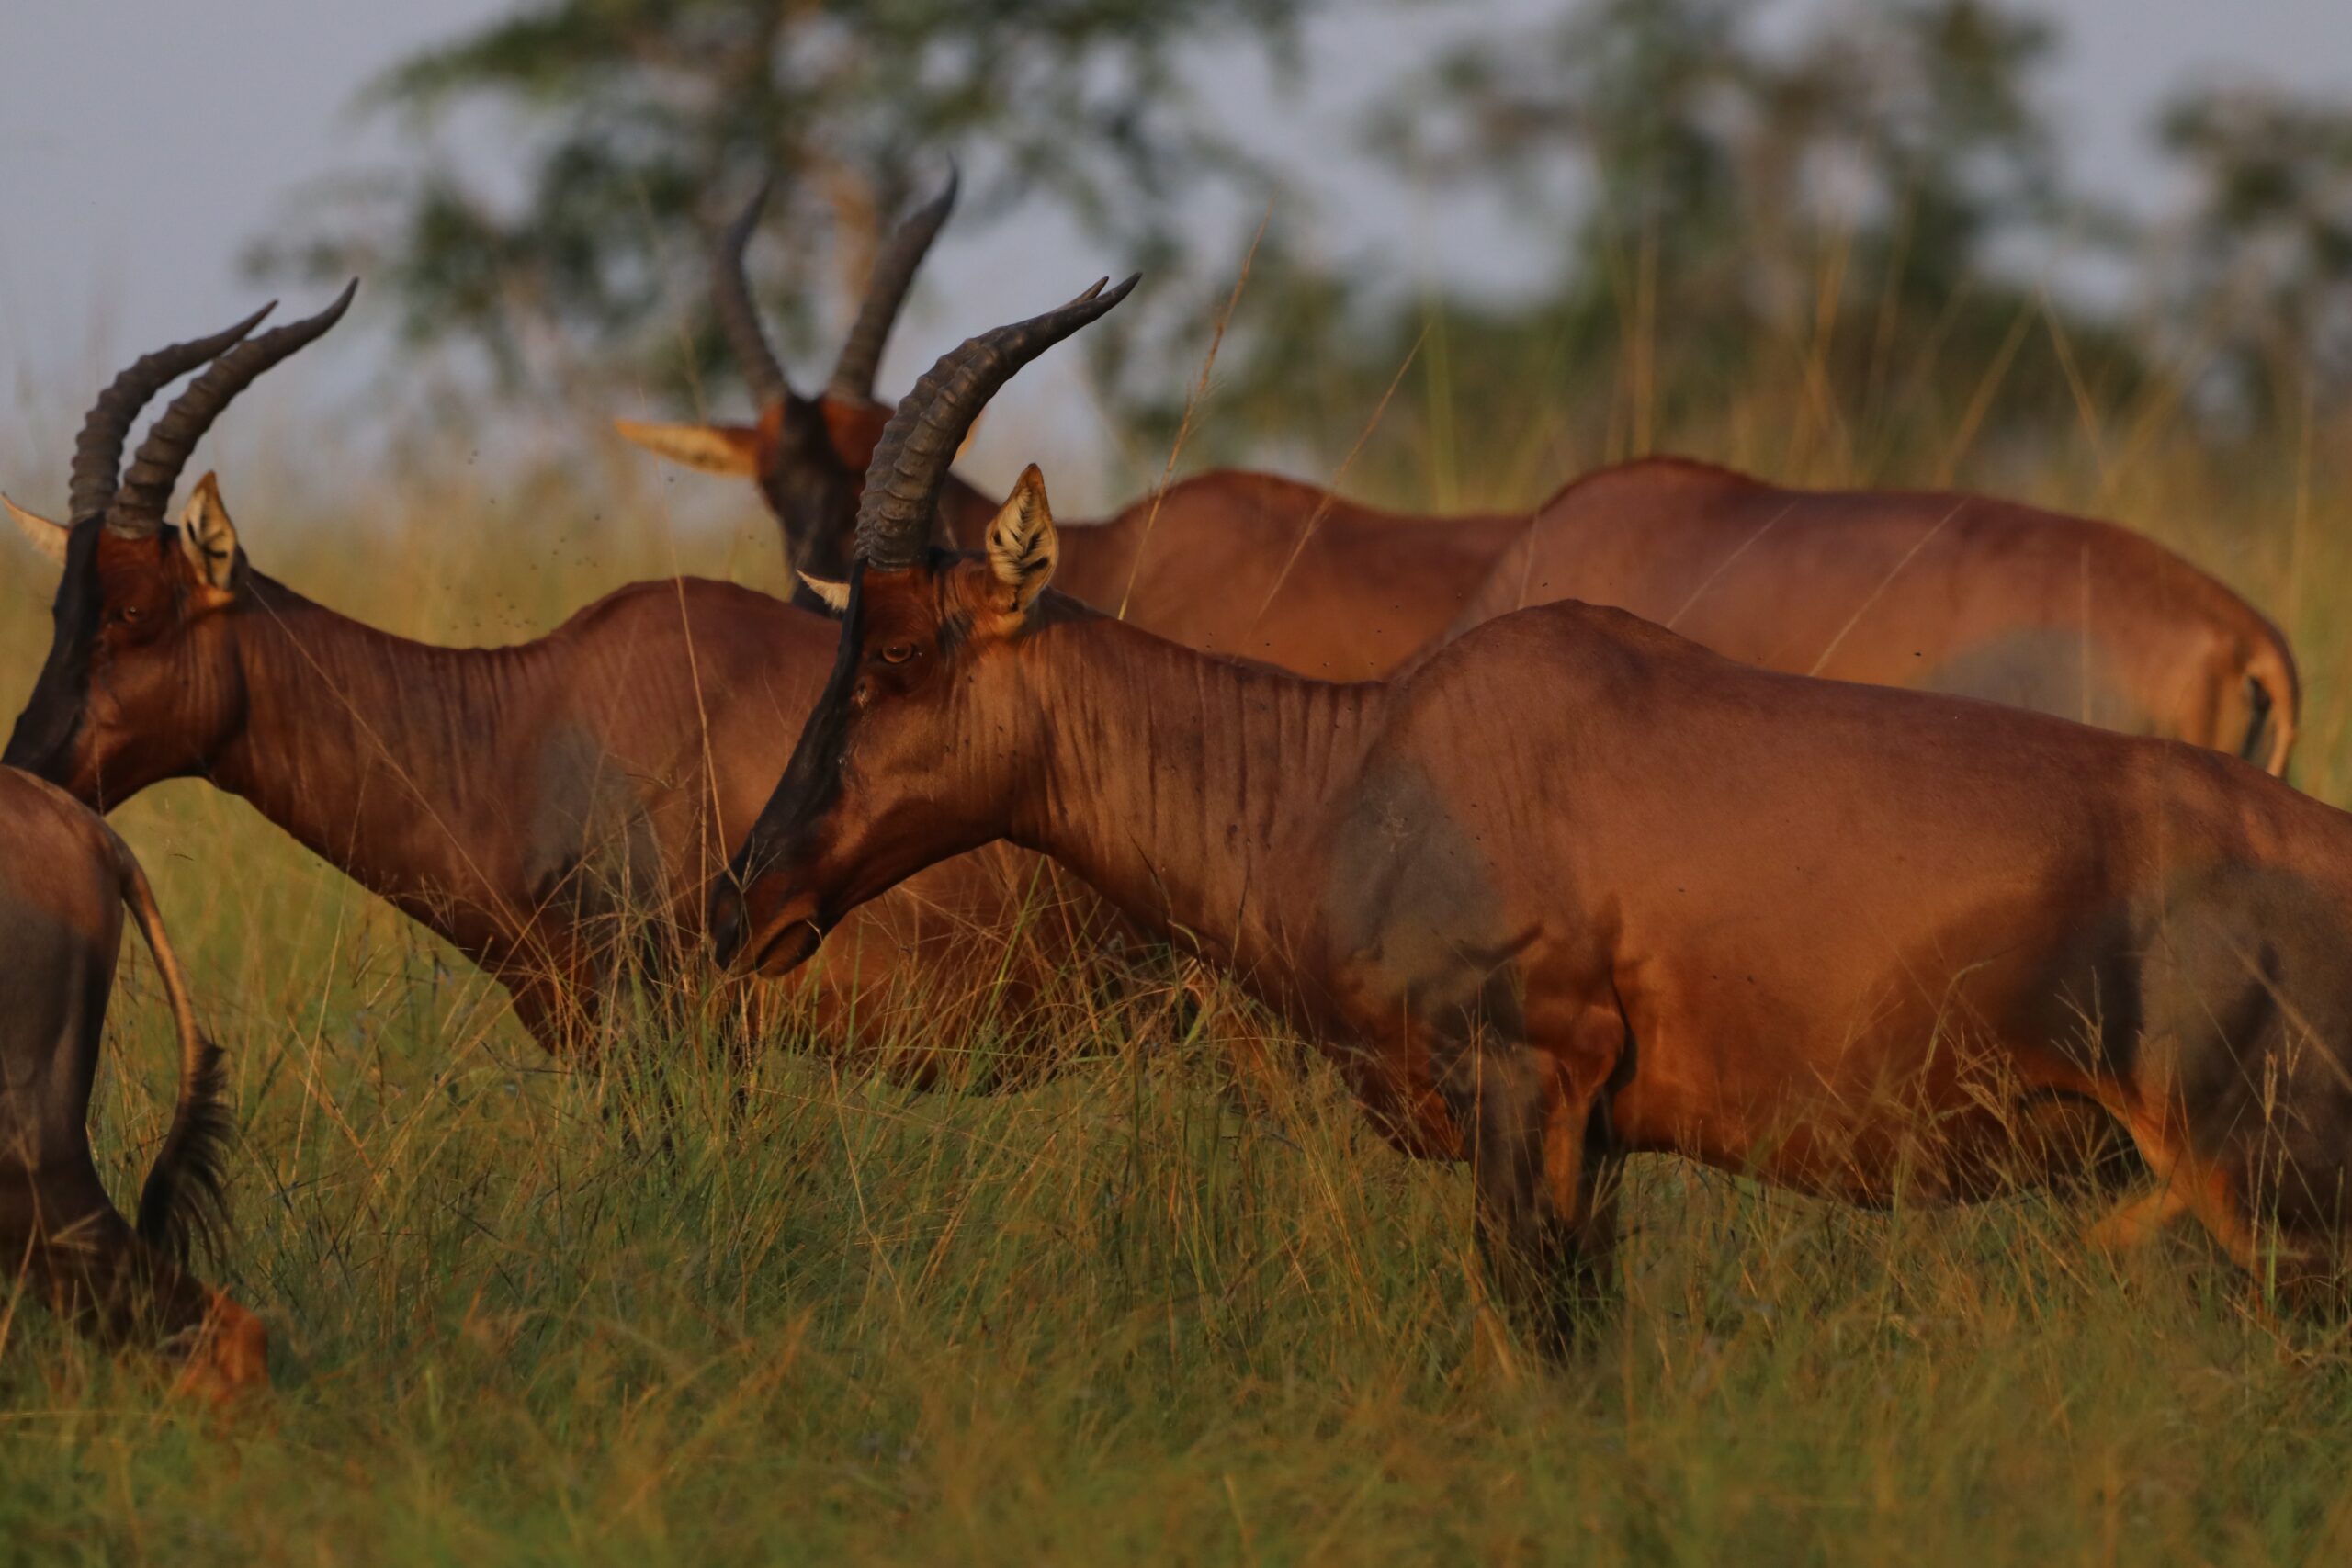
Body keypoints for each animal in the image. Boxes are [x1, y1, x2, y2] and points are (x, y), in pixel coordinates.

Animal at [710, 297, 2352, 1354]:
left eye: (902, 648)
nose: (745, 902)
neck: (1369, 757)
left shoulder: (1522, 1086)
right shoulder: (1600, 1135)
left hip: (2270, 1190)